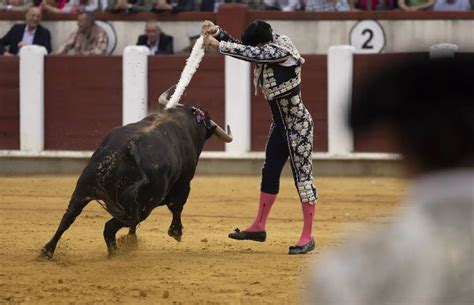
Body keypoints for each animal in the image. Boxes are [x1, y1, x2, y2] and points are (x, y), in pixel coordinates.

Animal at [41, 89, 233, 258]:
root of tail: (129, 147)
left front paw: (132, 240)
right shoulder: (184, 182)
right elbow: (177, 206)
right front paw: (176, 232)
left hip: (84, 188)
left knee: (68, 217)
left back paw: (47, 251)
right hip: (143, 205)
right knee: (111, 227)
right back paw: (115, 254)